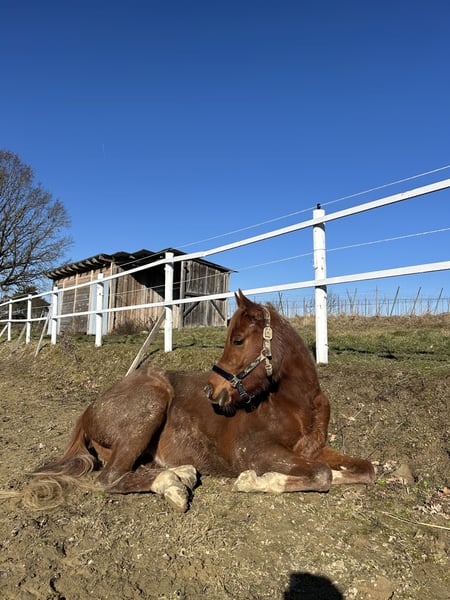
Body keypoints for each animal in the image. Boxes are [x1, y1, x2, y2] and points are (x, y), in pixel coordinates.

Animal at [23, 291, 375, 511]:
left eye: (238, 340)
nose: (211, 389)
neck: (297, 405)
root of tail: (88, 411)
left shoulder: (313, 450)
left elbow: (363, 469)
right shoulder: (256, 451)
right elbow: (320, 474)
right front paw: (258, 480)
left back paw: (181, 474)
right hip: (152, 402)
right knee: (109, 479)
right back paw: (172, 483)